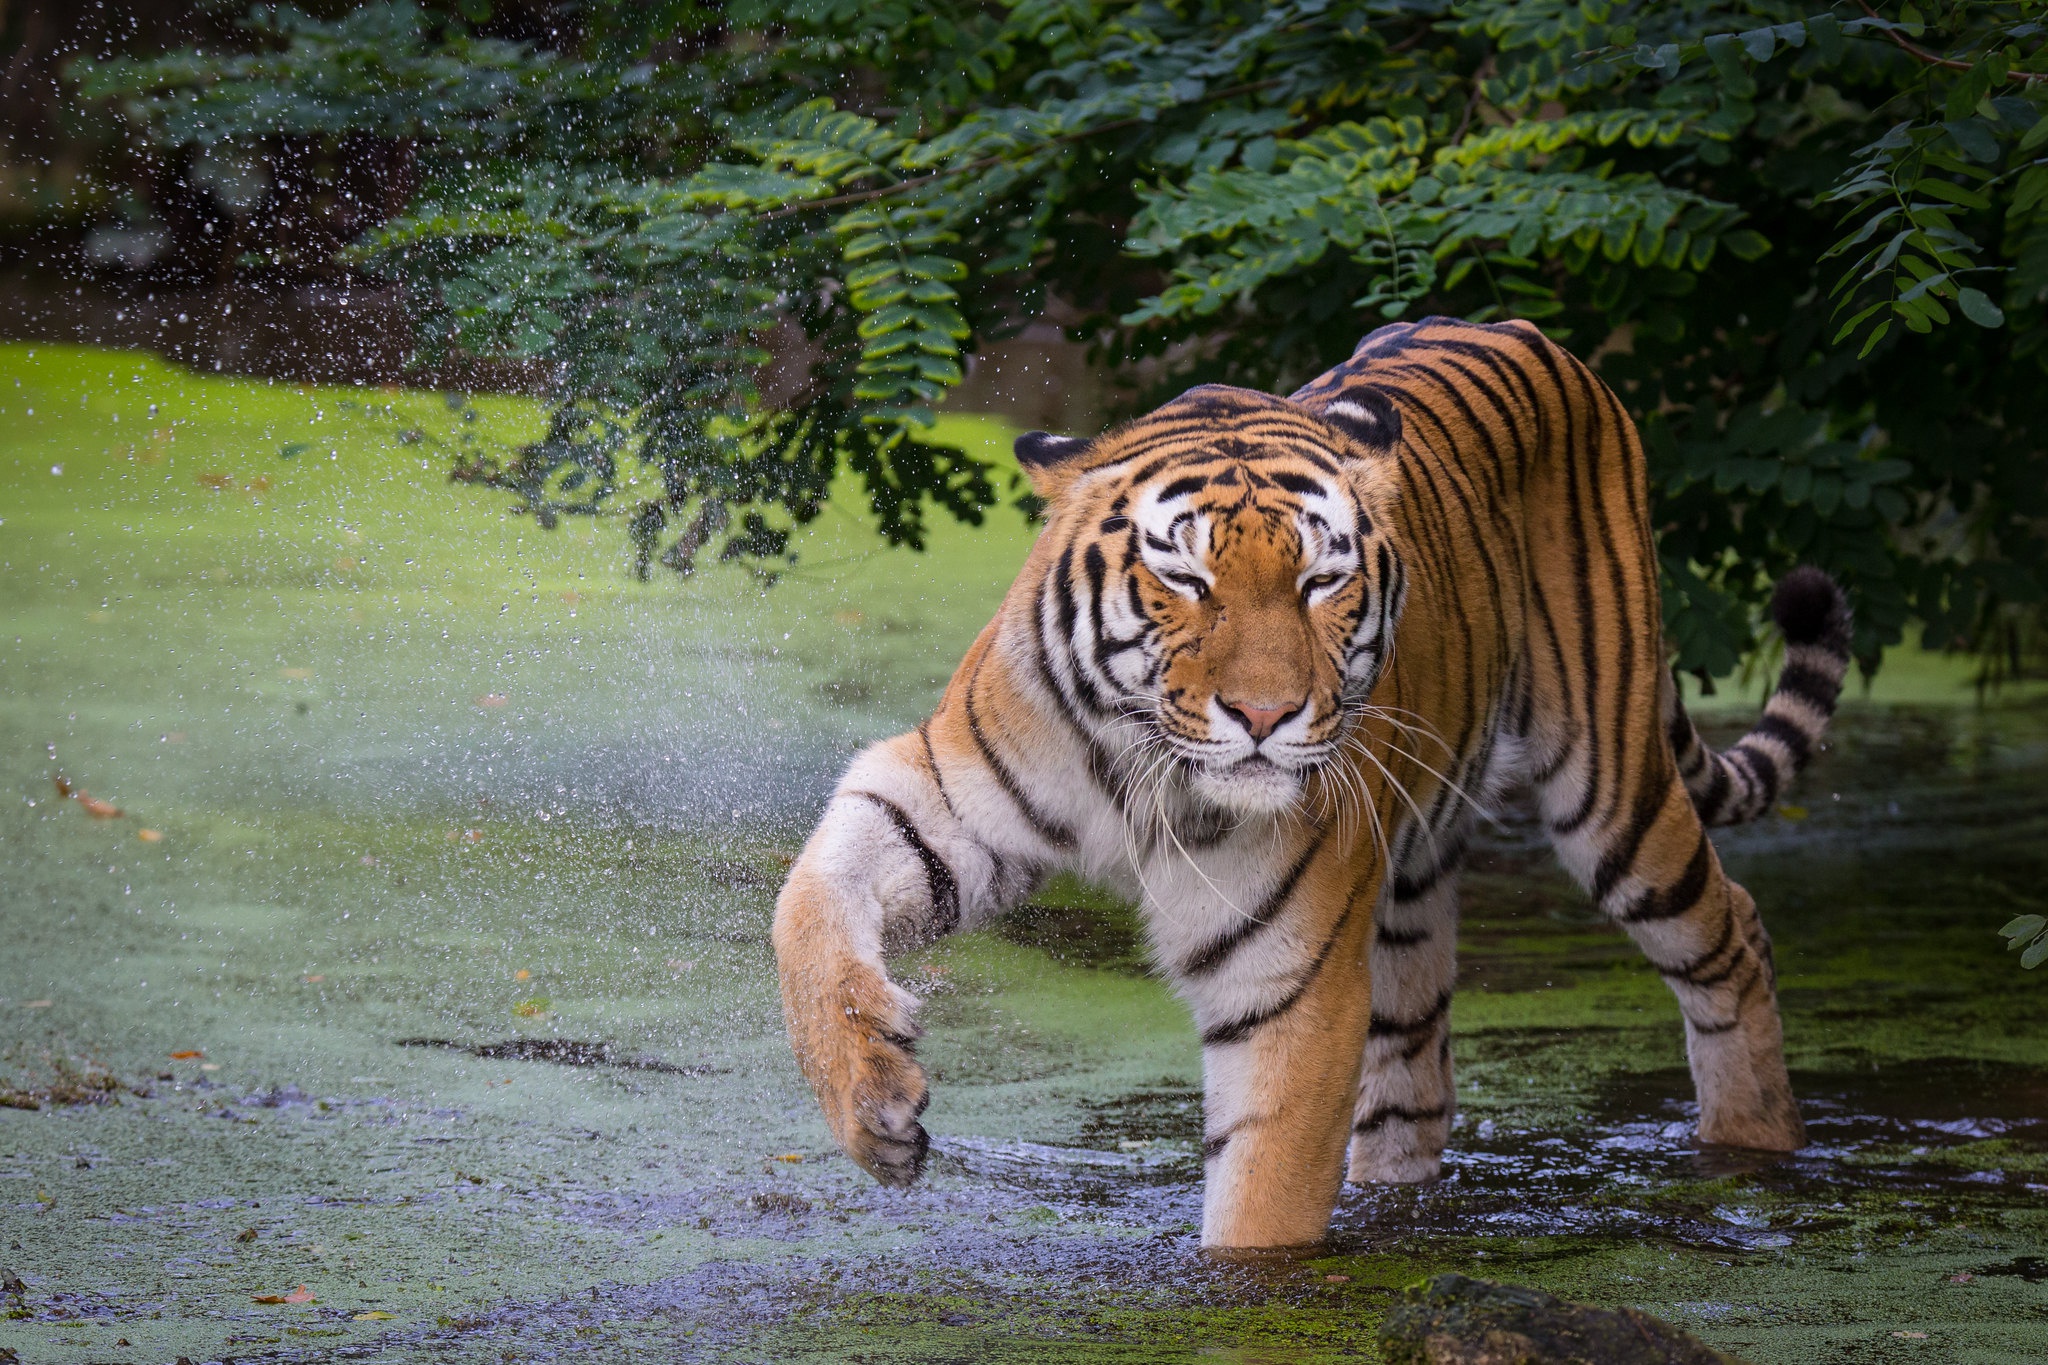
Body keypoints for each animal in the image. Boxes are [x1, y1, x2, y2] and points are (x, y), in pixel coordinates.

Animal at [770, 317, 1859, 1252]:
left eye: (1320, 582)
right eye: (1186, 580)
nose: (1265, 716)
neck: (1137, 764)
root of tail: (1522, 329)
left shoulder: (1284, 977)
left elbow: (1263, 1201)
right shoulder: (947, 799)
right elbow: (807, 900)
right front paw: (872, 1097)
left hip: (1610, 784)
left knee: (1730, 929)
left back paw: (1754, 1145)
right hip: (1412, 887)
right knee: (1418, 1077)